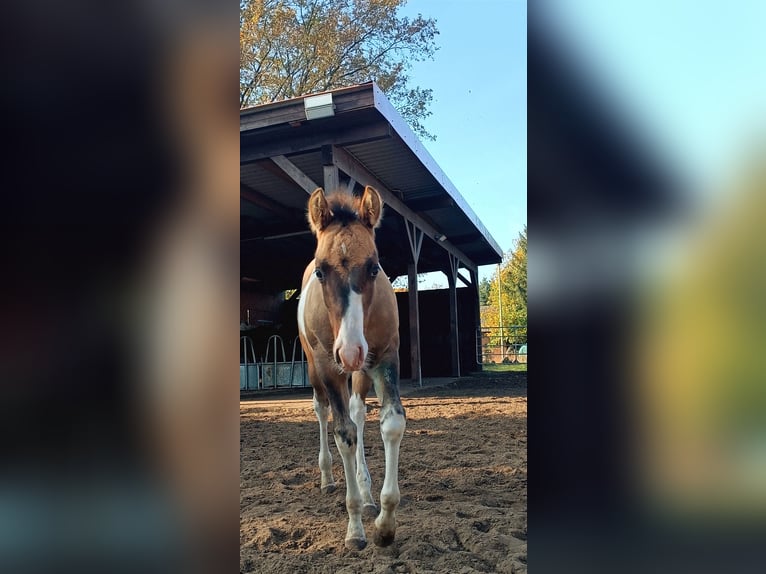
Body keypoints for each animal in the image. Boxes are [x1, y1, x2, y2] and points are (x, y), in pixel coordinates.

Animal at [298, 187, 412, 552]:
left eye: (374, 267)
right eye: (321, 272)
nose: (349, 352)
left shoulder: (386, 357)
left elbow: (391, 424)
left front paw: (385, 524)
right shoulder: (329, 366)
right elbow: (344, 434)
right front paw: (355, 529)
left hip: (362, 370)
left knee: (358, 410)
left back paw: (366, 490)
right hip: (317, 368)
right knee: (323, 411)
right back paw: (328, 478)